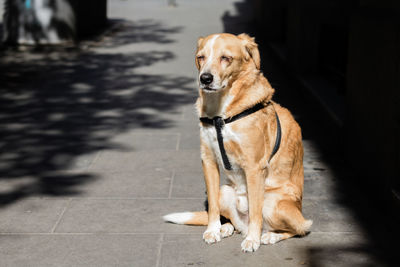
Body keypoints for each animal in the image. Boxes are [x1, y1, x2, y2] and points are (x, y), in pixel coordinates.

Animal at [163, 33, 312, 253]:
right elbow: (213, 207)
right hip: (225, 191)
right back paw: (226, 228)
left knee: (300, 229)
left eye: (226, 58)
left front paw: (252, 240)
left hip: (274, 204)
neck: (221, 114)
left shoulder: (254, 167)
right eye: (201, 57)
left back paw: (269, 236)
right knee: (233, 220)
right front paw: (213, 230)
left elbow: (256, 212)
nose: (205, 79)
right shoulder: (208, 160)